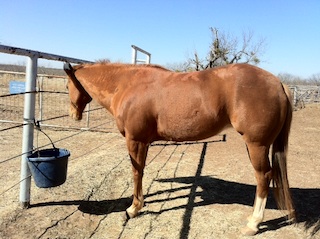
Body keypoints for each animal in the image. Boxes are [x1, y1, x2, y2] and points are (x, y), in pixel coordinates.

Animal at [64, 62, 296, 235]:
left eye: (67, 87)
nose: (73, 115)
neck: (127, 85)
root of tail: (278, 84)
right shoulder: (144, 143)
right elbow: (141, 172)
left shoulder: (135, 141)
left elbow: (136, 173)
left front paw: (133, 209)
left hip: (257, 145)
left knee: (263, 177)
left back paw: (253, 223)